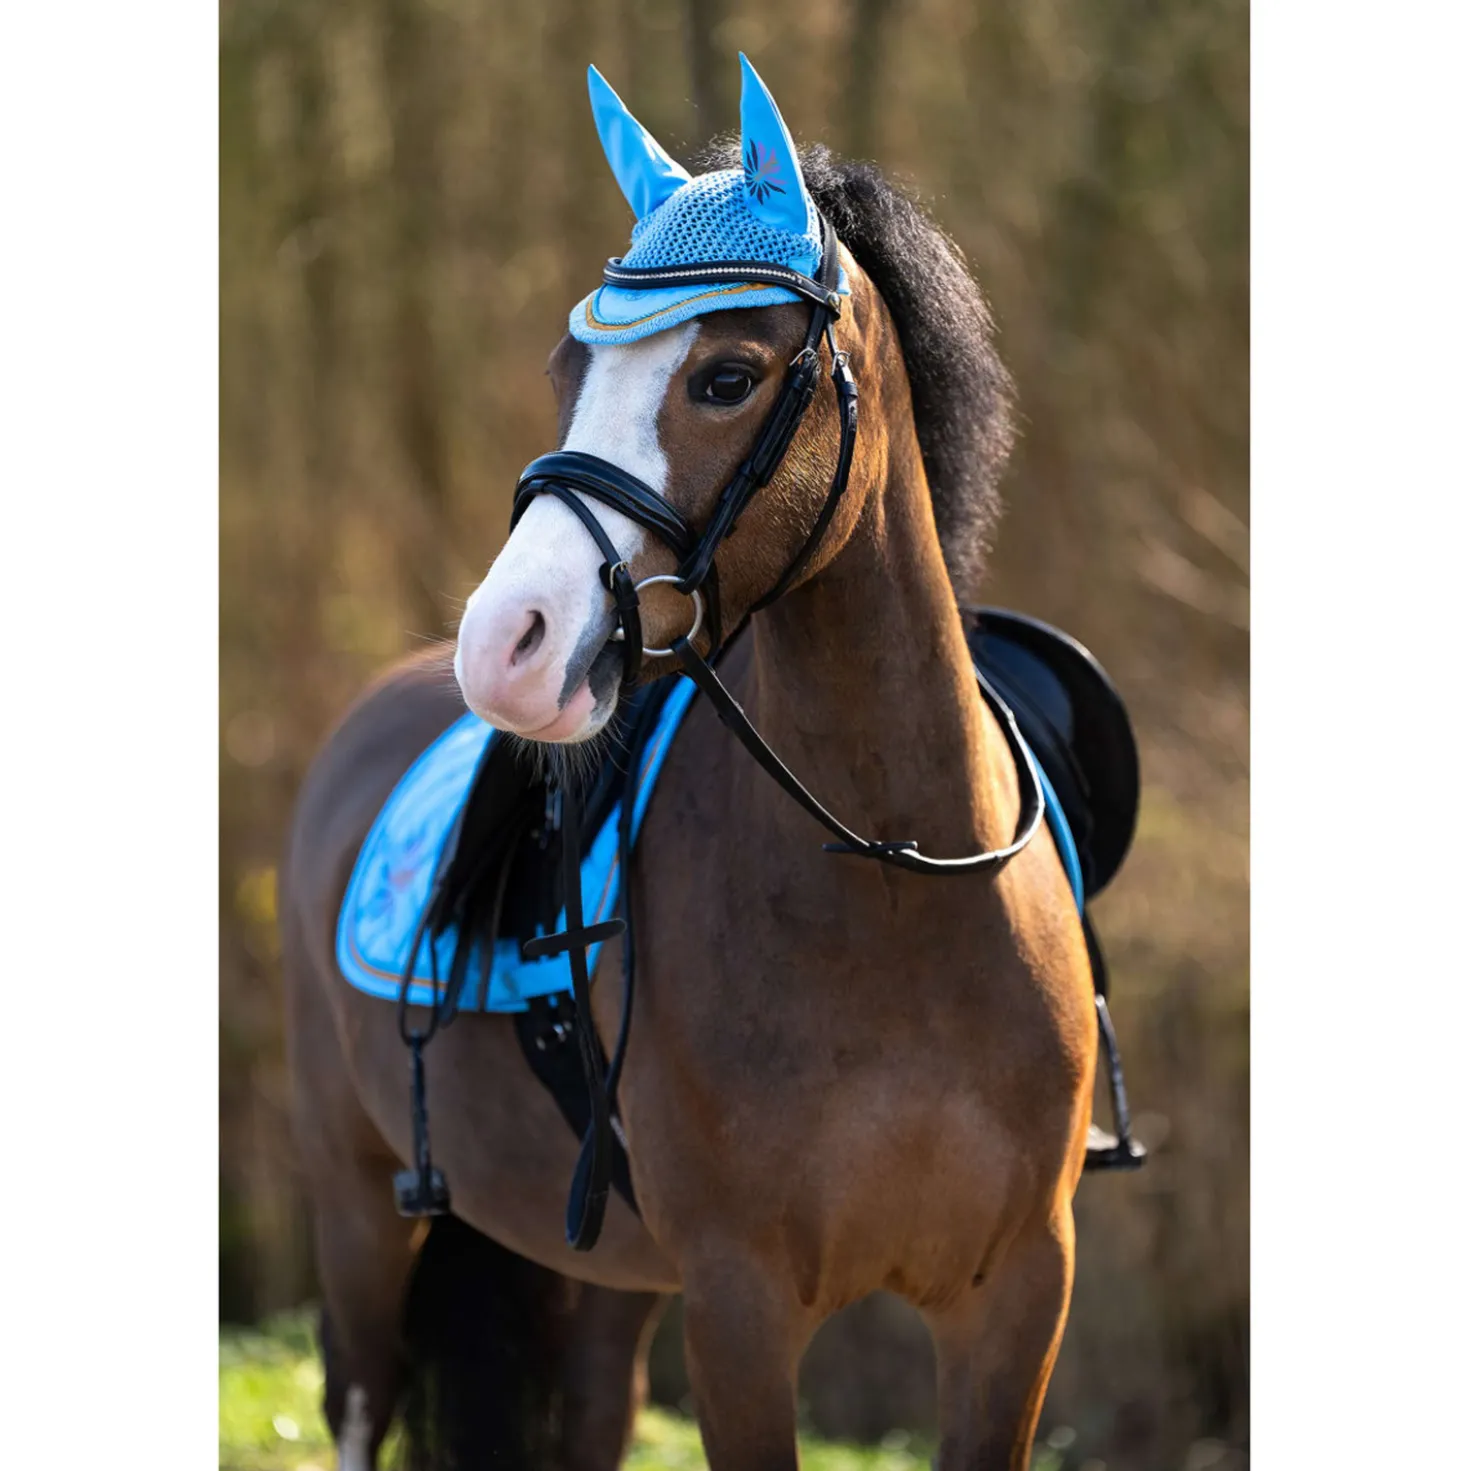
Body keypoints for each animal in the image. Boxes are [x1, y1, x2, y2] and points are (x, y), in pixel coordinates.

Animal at [281, 56, 1098, 1471]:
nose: (504, 644)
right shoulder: (741, 1304)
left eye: (725, 375)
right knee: (362, 1398)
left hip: (608, 1278)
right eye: (569, 364)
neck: (898, 879)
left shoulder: (1018, 1302)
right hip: (362, 1214)